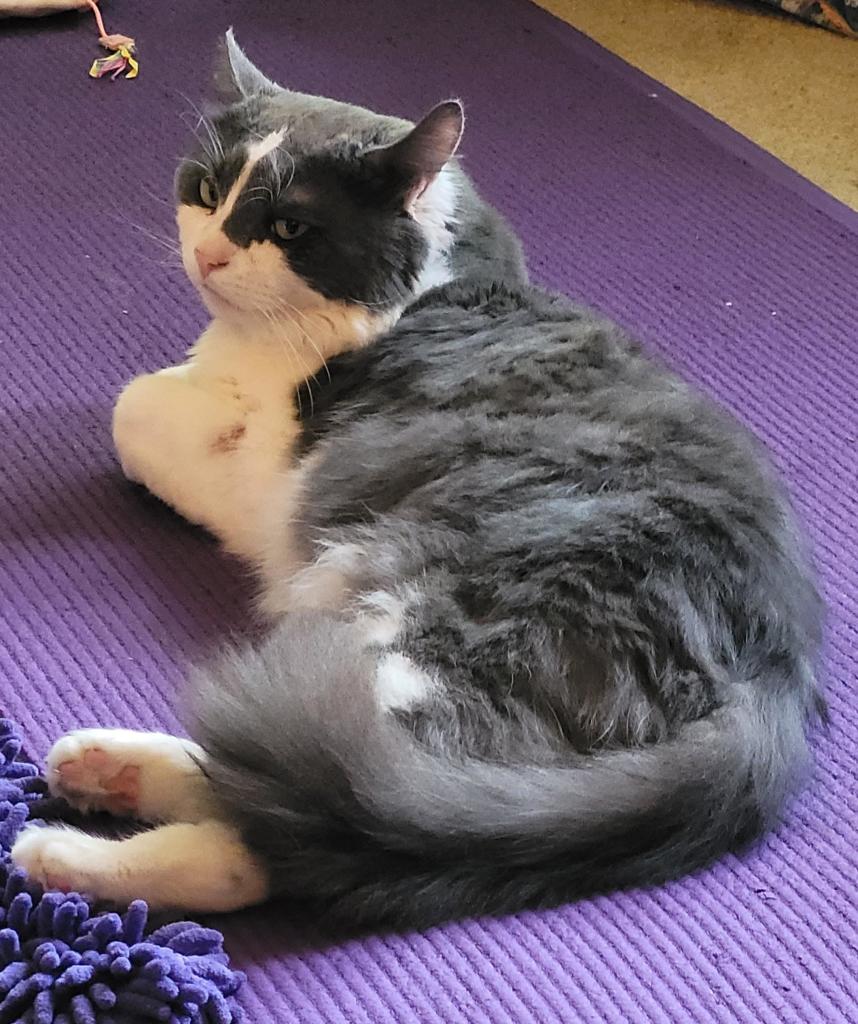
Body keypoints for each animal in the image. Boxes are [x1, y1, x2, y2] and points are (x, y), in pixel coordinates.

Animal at [10, 32, 823, 933]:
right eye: (210, 192)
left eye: (288, 226)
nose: (210, 254)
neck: (428, 287)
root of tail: (773, 681)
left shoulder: (270, 472)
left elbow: (134, 405)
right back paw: (102, 780)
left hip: (430, 637)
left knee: (278, 830)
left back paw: (65, 842)